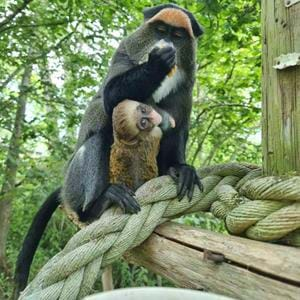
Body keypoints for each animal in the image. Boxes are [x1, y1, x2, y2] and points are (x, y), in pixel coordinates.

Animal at [12, 4, 203, 298]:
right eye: (160, 31)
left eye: (178, 35)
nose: (167, 44)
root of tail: (66, 191)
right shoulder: (123, 60)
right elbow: (111, 98)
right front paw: (156, 63)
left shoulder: (185, 91)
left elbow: (177, 128)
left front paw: (181, 169)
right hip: (77, 183)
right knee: (96, 142)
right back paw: (98, 204)